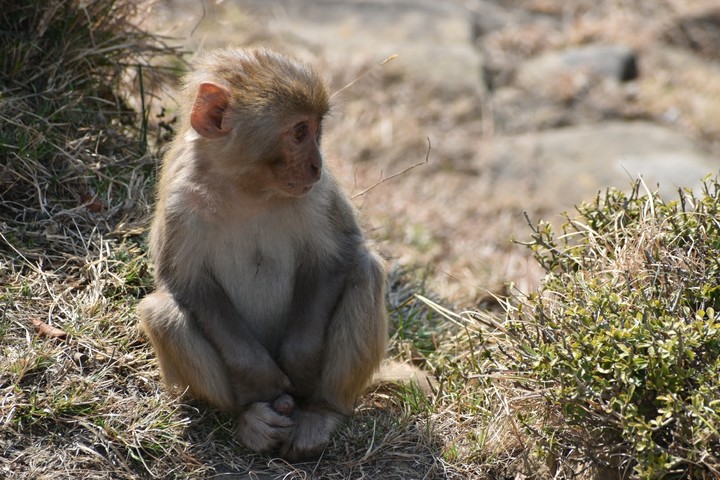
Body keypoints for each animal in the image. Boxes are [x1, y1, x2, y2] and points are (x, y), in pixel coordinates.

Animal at [137, 47, 388, 461]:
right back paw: (250, 416)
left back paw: (321, 411)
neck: (246, 188)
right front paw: (260, 377)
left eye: (316, 128)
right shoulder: (179, 202)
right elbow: (187, 283)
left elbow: (338, 255)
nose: (317, 165)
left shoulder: (318, 195)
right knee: (161, 312)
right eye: (299, 132)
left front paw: (301, 363)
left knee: (365, 271)